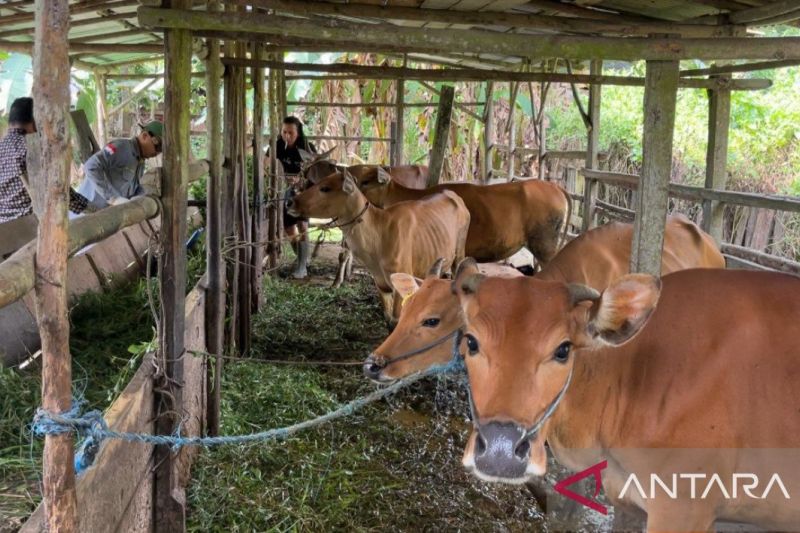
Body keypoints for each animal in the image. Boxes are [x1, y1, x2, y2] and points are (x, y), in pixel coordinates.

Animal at [288, 168, 472, 322]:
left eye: (325, 188)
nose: (290, 202)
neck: (380, 235)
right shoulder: (381, 284)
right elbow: (388, 320)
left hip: (459, 254)